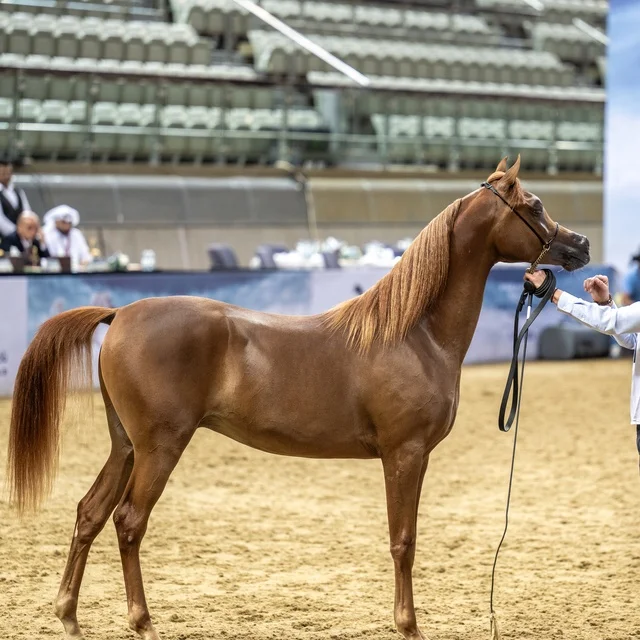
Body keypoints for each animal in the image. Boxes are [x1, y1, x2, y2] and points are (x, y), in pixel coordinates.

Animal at [7, 157, 590, 640]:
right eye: (535, 205)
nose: (581, 245)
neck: (415, 332)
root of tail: (121, 313)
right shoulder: (405, 455)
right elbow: (403, 540)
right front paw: (408, 626)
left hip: (124, 445)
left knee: (90, 513)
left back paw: (69, 616)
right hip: (159, 447)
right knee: (129, 522)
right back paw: (143, 623)